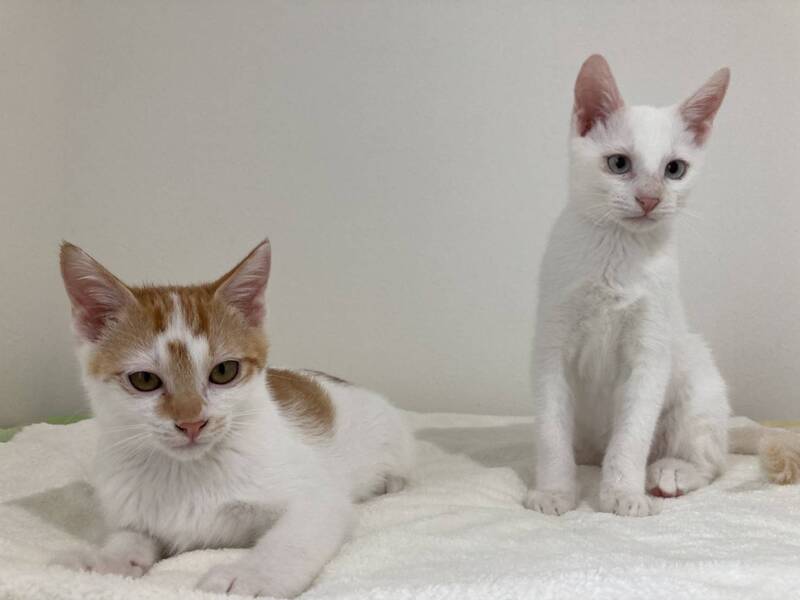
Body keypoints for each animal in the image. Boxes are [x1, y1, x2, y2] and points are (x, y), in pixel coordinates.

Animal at [54, 239, 414, 597]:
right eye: (144, 380)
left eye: (224, 371)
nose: (192, 422)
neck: (186, 472)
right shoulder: (135, 514)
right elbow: (129, 537)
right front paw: (104, 561)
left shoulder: (319, 499)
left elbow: (293, 537)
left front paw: (249, 576)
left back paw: (392, 482)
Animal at [525, 55, 731, 518]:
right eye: (619, 163)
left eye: (675, 169)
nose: (651, 198)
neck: (616, 254)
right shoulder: (551, 344)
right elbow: (550, 429)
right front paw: (555, 491)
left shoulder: (650, 352)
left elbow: (633, 435)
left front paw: (623, 493)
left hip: (696, 383)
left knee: (711, 461)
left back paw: (669, 473)